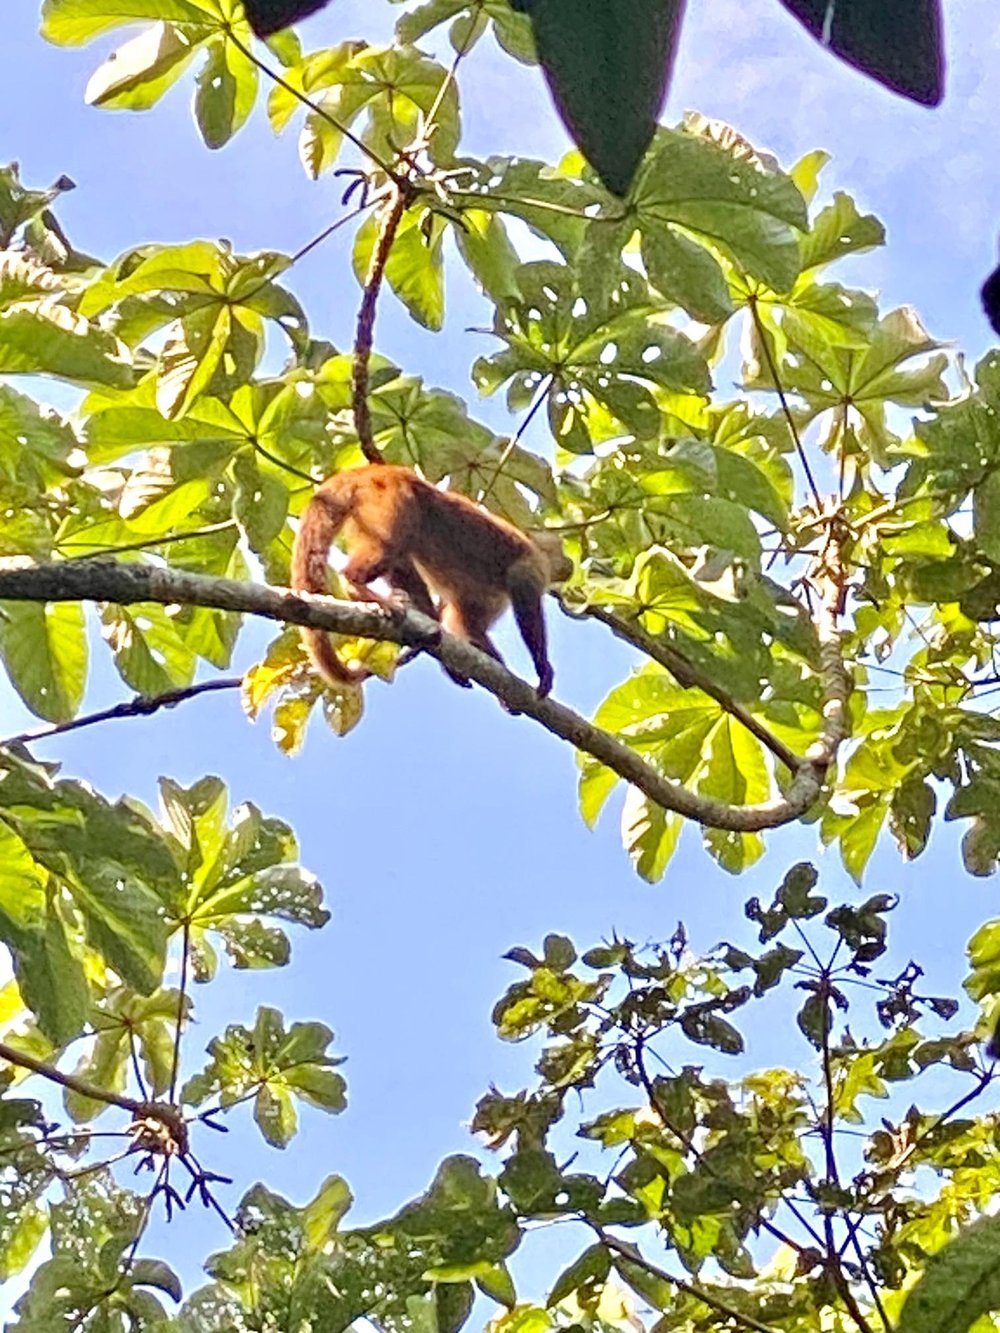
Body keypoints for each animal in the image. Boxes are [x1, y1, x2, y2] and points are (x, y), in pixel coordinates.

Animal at [290, 465, 572, 698]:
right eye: (562, 552)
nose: (569, 565)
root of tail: (380, 469)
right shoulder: (530, 566)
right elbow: (524, 602)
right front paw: (542, 668)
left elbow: (467, 627)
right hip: (391, 496)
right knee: (394, 541)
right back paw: (355, 584)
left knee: (402, 554)